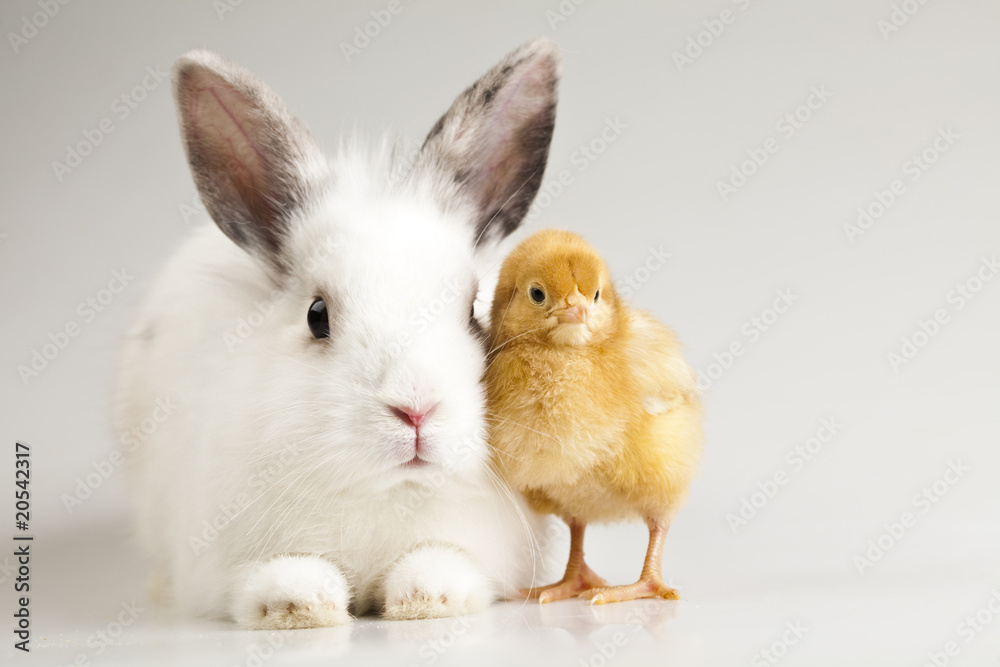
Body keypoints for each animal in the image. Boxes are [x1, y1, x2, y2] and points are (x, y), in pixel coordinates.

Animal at [115, 37, 564, 632]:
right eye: (317, 315)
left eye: (474, 311)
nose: (416, 410)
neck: (385, 490)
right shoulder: (223, 562)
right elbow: (277, 575)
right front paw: (299, 606)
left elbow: (441, 562)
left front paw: (425, 600)